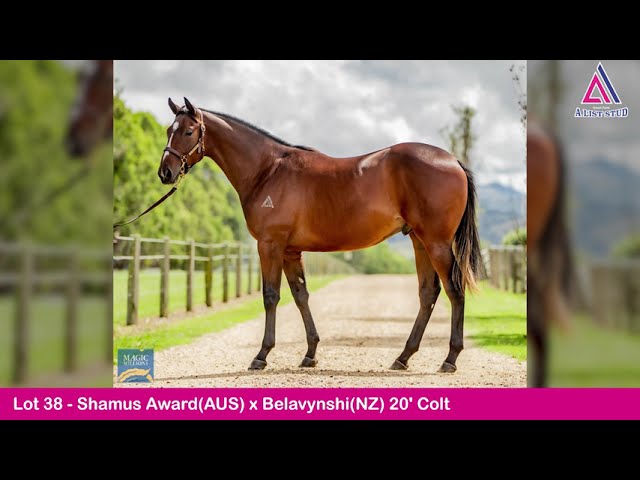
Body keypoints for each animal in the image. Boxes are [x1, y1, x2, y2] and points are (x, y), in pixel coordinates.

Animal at [159, 97, 480, 374]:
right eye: (168, 131)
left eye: (188, 131)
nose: (165, 172)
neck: (268, 170)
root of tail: (453, 161)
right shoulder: (290, 251)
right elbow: (301, 296)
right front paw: (310, 353)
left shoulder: (270, 245)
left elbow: (271, 296)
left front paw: (262, 355)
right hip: (419, 241)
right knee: (428, 294)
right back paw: (403, 357)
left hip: (436, 243)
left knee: (454, 291)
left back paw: (450, 359)